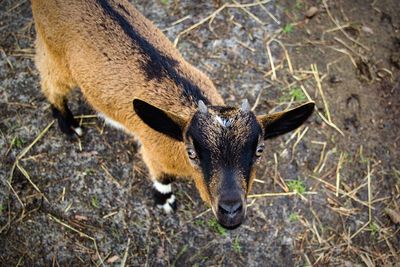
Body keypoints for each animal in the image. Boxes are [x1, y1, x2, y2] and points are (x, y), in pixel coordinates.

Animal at [32, 0, 316, 230]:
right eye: (192, 152)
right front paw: (165, 200)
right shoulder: (153, 152)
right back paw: (69, 126)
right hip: (54, 53)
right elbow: (162, 177)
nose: (231, 211)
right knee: (50, 83)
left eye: (259, 150)